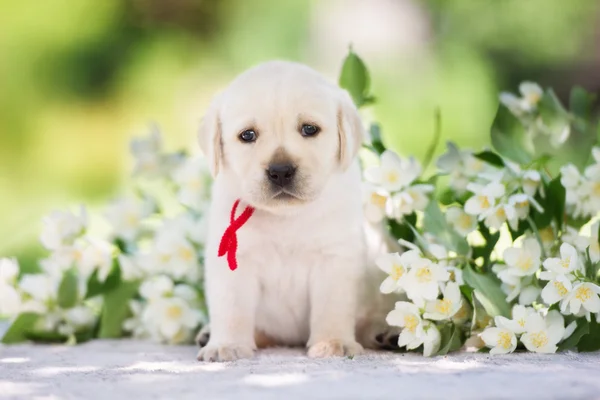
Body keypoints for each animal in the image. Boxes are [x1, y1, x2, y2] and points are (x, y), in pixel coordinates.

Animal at [195, 60, 396, 362]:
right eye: (247, 135)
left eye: (309, 129)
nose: (280, 171)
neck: (286, 218)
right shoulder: (235, 258)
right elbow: (231, 308)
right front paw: (227, 345)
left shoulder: (335, 258)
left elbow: (332, 307)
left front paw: (333, 342)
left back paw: (387, 334)